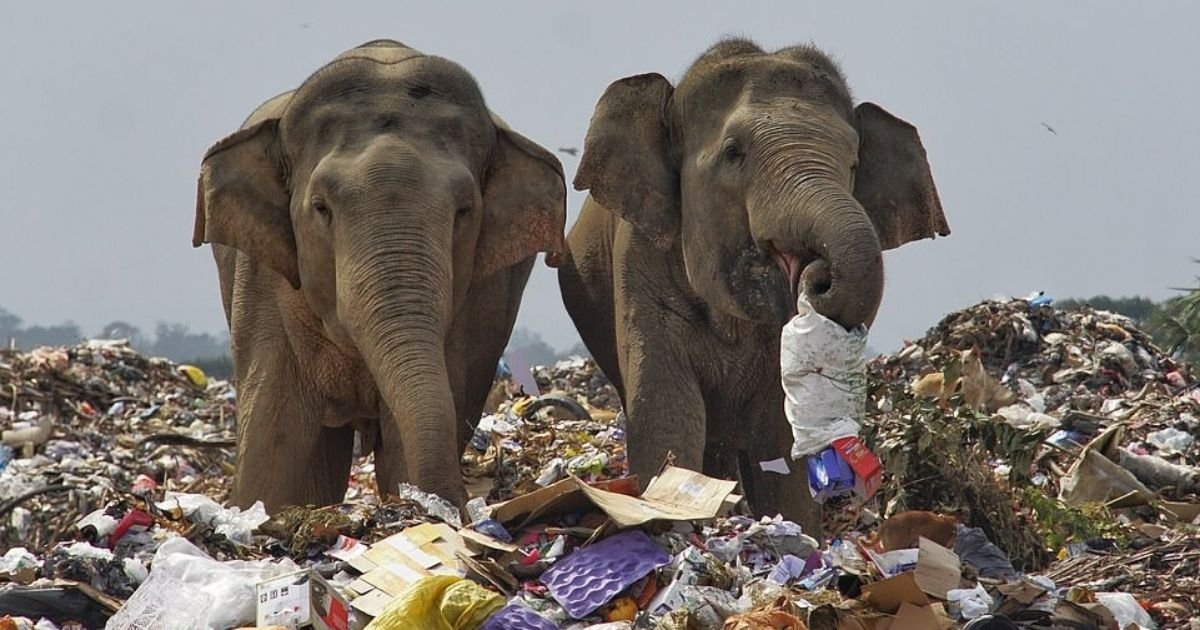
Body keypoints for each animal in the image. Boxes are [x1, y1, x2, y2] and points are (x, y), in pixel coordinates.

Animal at [195, 38, 566, 511]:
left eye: (464, 211)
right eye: (322, 208)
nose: (464, 504)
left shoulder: (482, 298)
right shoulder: (264, 282)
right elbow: (278, 455)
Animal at [556, 38, 950, 530]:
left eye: (854, 161)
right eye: (733, 152)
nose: (817, 275)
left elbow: (780, 440)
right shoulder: (639, 258)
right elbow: (666, 410)